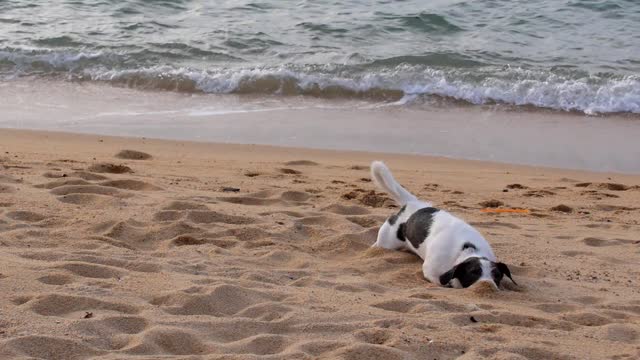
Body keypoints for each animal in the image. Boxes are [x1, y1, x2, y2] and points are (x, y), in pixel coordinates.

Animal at [370, 161, 516, 290]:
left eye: (496, 275)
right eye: (473, 272)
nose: (488, 285)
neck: (466, 249)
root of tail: (413, 204)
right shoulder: (431, 272)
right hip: (387, 241)